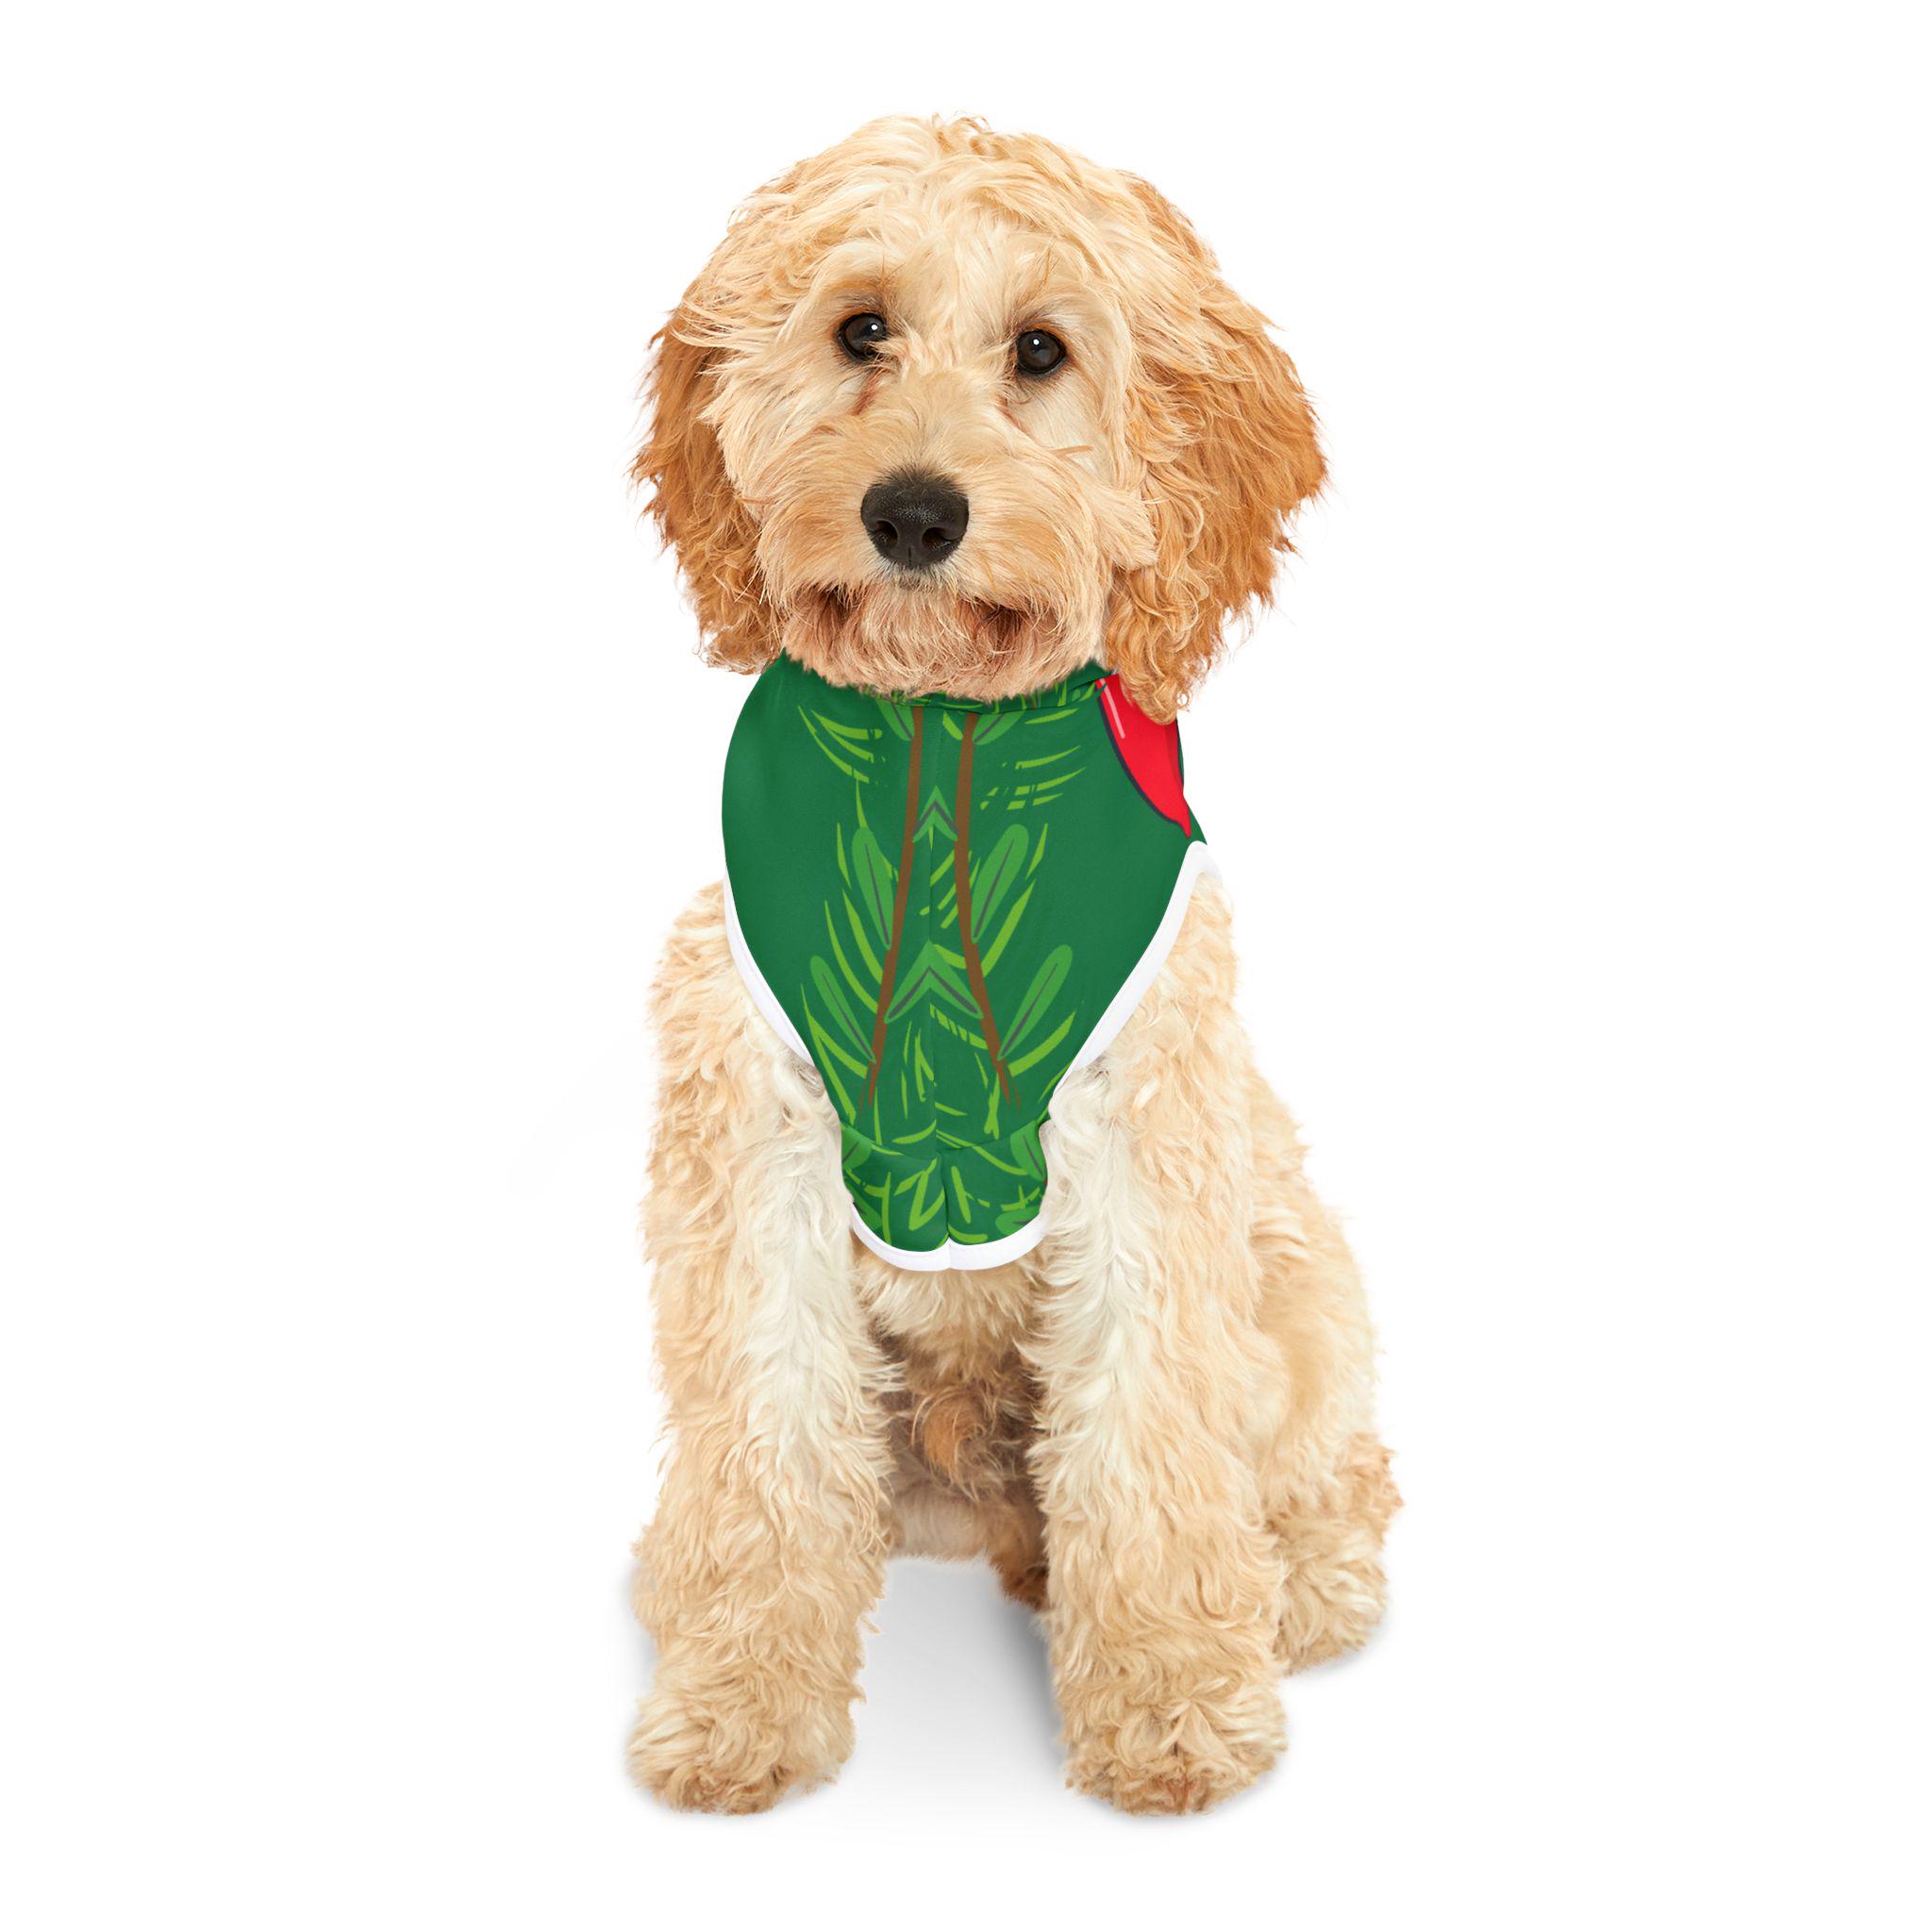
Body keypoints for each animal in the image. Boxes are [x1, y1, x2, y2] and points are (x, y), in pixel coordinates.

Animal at [627, 116, 1396, 1815]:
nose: (915, 514)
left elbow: (1151, 1449)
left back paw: (1301, 1586)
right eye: (861, 329)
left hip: (1289, 1256)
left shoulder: (1146, 1160)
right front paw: (736, 1706)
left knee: (1322, 1463)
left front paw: (1174, 1709)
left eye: (1040, 349)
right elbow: (766, 1449)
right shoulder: (756, 1158)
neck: (939, 735)